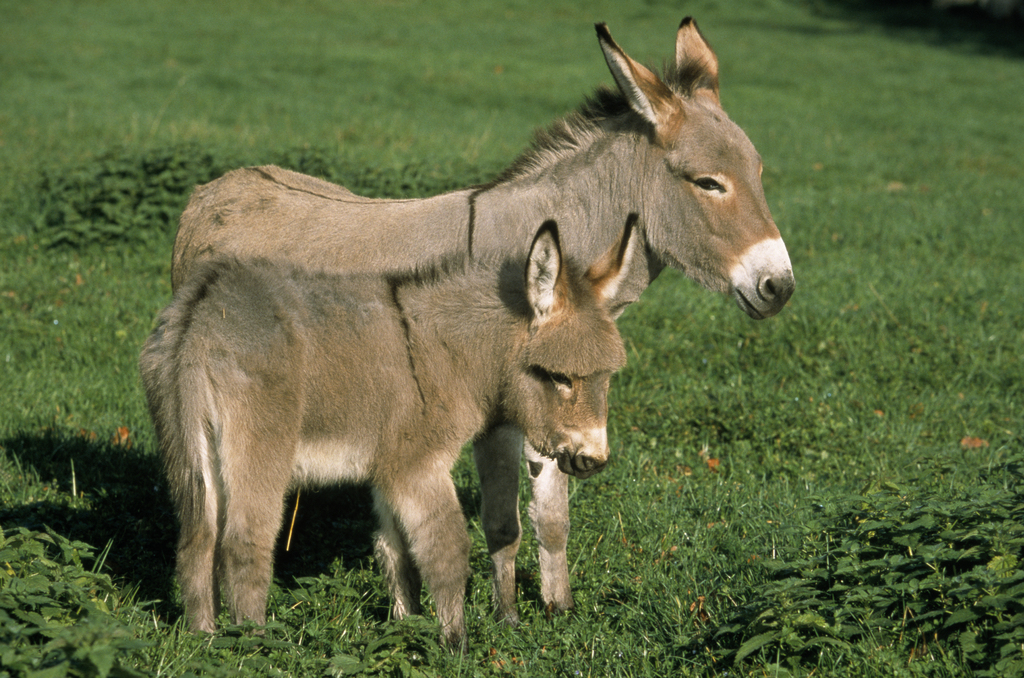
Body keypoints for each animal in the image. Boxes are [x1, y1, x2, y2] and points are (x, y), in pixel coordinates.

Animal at [139, 222, 626, 647]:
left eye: (606, 376)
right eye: (557, 377)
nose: (594, 460)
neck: (451, 354)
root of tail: (202, 315)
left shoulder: (386, 471)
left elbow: (395, 551)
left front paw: (406, 625)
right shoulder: (418, 467)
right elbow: (446, 550)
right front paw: (456, 645)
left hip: (187, 447)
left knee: (196, 540)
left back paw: (204, 639)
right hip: (260, 448)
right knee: (244, 542)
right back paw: (258, 646)